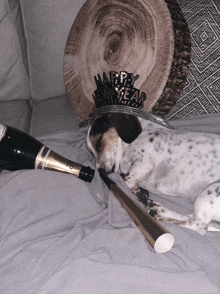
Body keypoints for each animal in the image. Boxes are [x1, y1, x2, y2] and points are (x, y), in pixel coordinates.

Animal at [86, 112, 220, 234]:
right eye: (91, 153)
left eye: (99, 142)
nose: (99, 170)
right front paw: (143, 196)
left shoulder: (144, 163)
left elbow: (127, 180)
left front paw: (140, 194)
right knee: (192, 218)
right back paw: (158, 210)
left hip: (210, 193)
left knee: (198, 226)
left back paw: (161, 216)